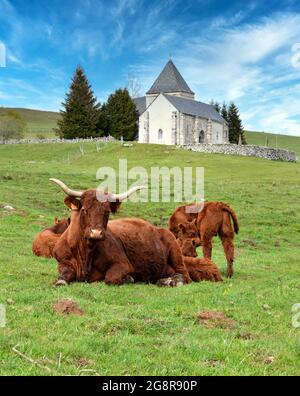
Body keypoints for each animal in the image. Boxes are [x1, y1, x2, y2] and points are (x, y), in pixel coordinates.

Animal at [50, 179, 191, 288]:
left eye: (107, 211)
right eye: (84, 210)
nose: (96, 233)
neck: (86, 252)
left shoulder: (123, 264)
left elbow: (110, 278)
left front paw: (128, 278)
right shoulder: (63, 263)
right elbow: (62, 279)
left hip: (176, 254)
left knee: (184, 276)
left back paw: (171, 282)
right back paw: (163, 280)